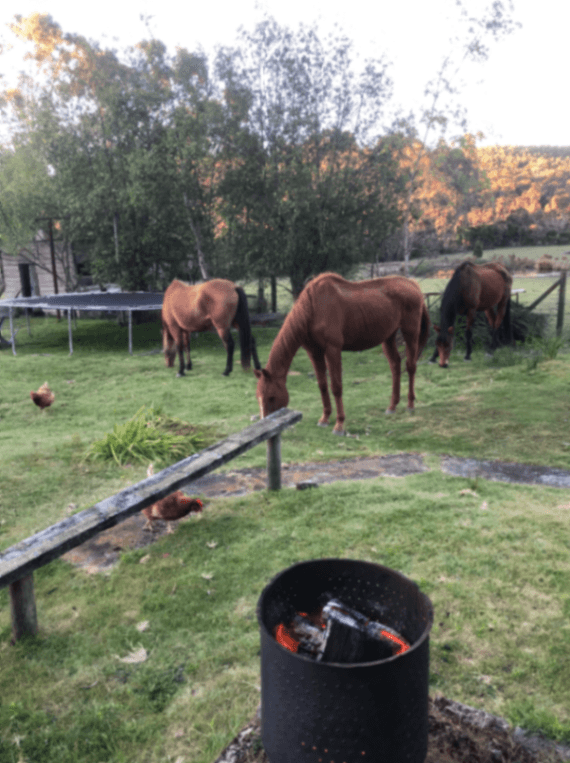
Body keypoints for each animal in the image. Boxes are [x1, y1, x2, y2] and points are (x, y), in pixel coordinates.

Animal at [254, 272, 431, 434]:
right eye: (258, 397)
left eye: (271, 397)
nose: (265, 425)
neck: (313, 309)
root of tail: (414, 285)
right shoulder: (314, 352)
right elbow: (322, 385)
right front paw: (325, 418)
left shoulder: (333, 349)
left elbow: (336, 386)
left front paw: (339, 424)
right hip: (388, 337)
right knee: (395, 365)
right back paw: (392, 406)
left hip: (410, 333)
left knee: (410, 366)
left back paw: (410, 405)